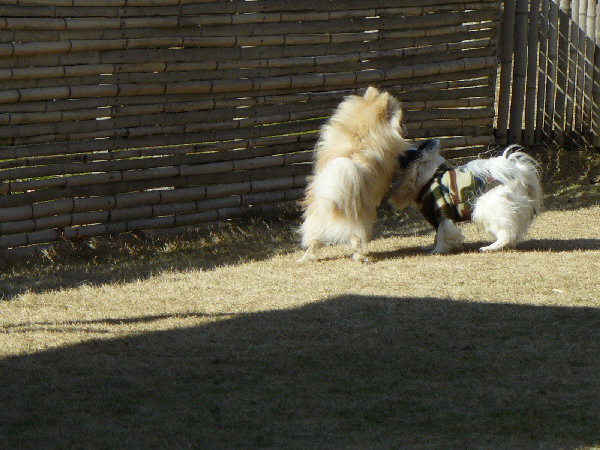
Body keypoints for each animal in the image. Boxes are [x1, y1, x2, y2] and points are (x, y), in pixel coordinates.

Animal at [298, 87, 412, 262]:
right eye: (401, 121)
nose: (406, 126)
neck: (362, 131)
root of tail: (333, 202)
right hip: (360, 223)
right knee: (356, 241)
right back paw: (361, 258)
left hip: (317, 222)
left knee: (313, 241)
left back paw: (306, 258)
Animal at [389, 139, 543, 253]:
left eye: (400, 159)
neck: (428, 179)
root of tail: (521, 175)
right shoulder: (435, 218)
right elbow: (436, 235)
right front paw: (431, 247)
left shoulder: (442, 214)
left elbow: (442, 234)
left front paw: (438, 250)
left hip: (489, 208)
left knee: (506, 233)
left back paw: (490, 247)